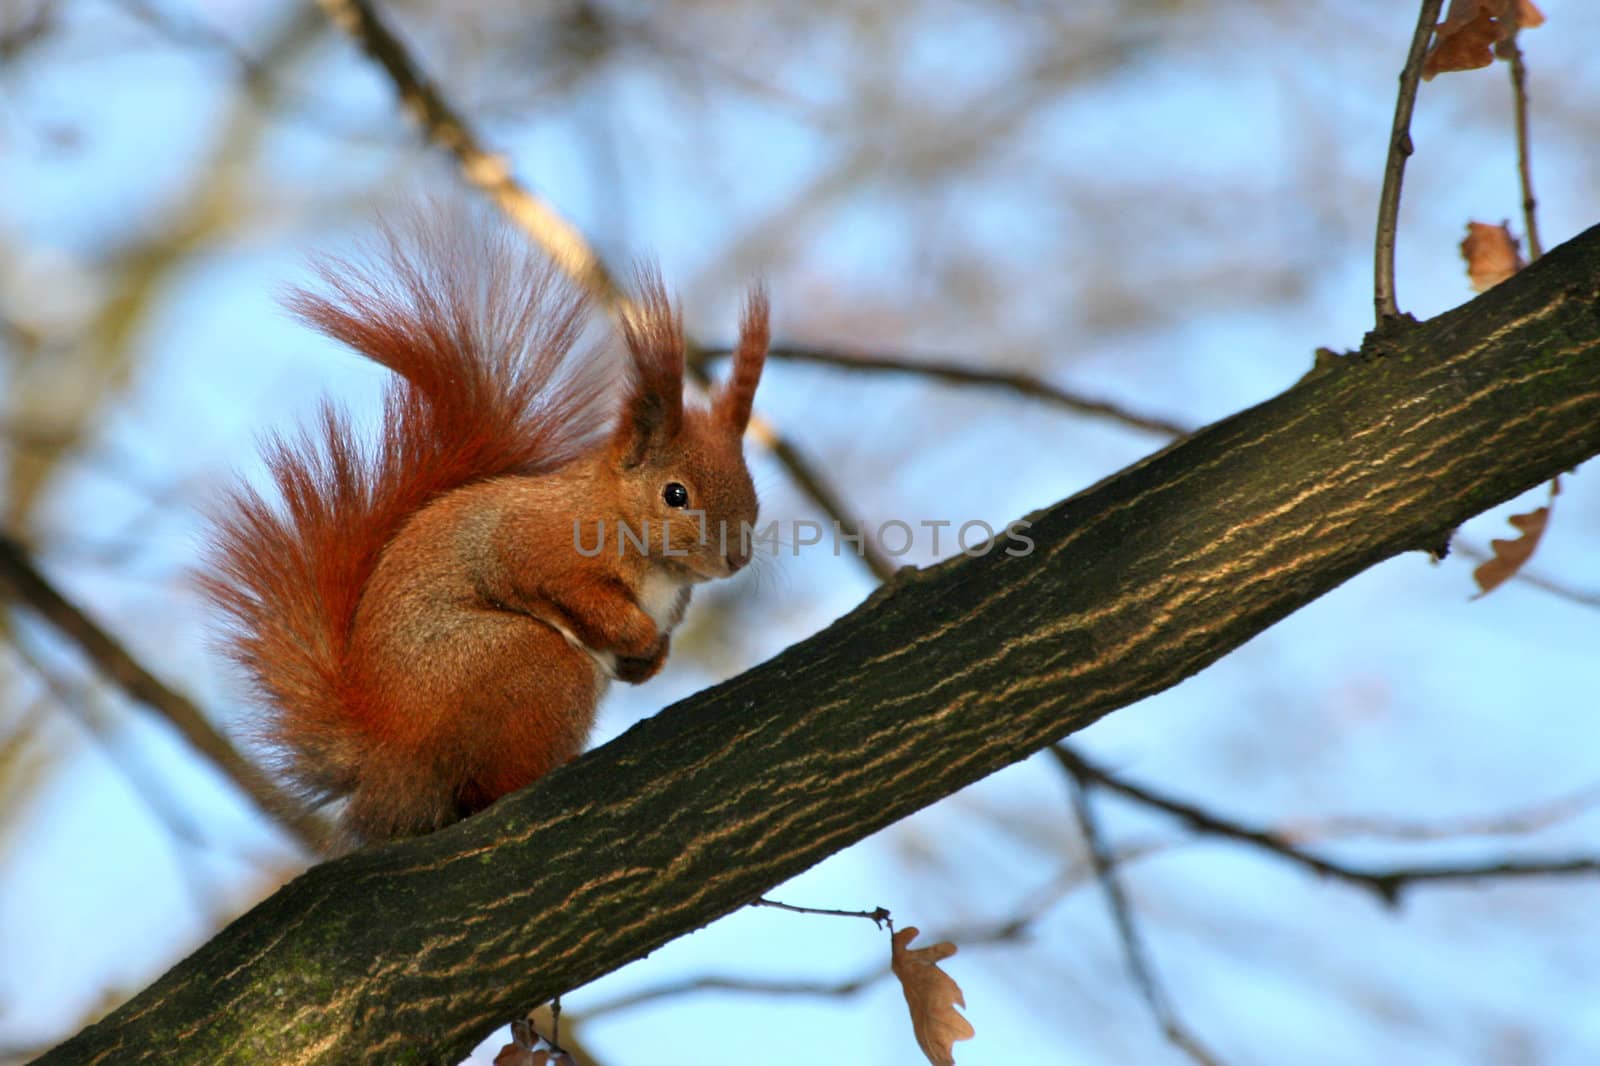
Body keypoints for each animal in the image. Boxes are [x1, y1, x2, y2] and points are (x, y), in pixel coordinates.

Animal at [201, 217, 768, 845]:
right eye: (676, 495)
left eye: (751, 486)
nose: (737, 559)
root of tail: (388, 757)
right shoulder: (541, 543)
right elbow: (561, 585)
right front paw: (638, 635)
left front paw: (651, 660)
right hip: (528, 664)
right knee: (495, 783)